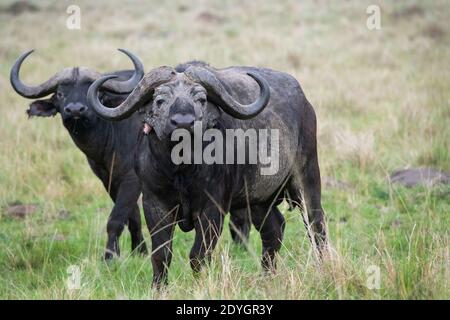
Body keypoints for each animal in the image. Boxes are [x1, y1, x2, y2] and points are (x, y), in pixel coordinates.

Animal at [88, 62, 328, 284]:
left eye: (201, 100)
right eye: (160, 100)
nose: (183, 122)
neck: (180, 170)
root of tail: (305, 104)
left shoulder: (213, 207)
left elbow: (199, 255)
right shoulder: (154, 203)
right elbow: (161, 254)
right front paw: (159, 288)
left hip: (306, 176)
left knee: (316, 223)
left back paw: (323, 266)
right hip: (258, 198)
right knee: (273, 230)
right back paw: (266, 277)